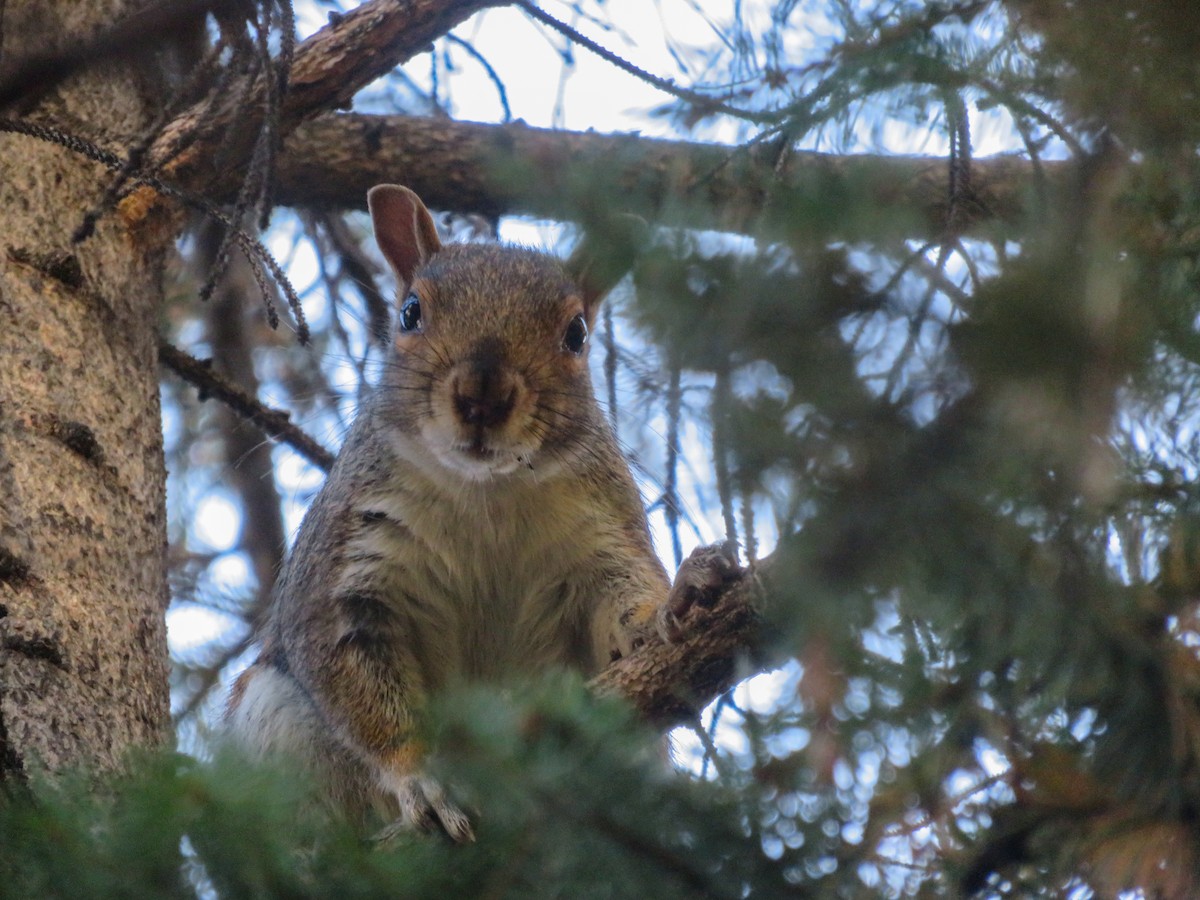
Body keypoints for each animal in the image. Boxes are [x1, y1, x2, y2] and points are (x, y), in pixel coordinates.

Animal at [225, 185, 736, 842]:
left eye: (577, 333)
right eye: (410, 312)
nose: (482, 395)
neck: (485, 494)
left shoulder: (601, 538)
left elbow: (622, 612)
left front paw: (676, 600)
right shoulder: (345, 569)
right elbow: (357, 688)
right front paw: (419, 777)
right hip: (268, 723)